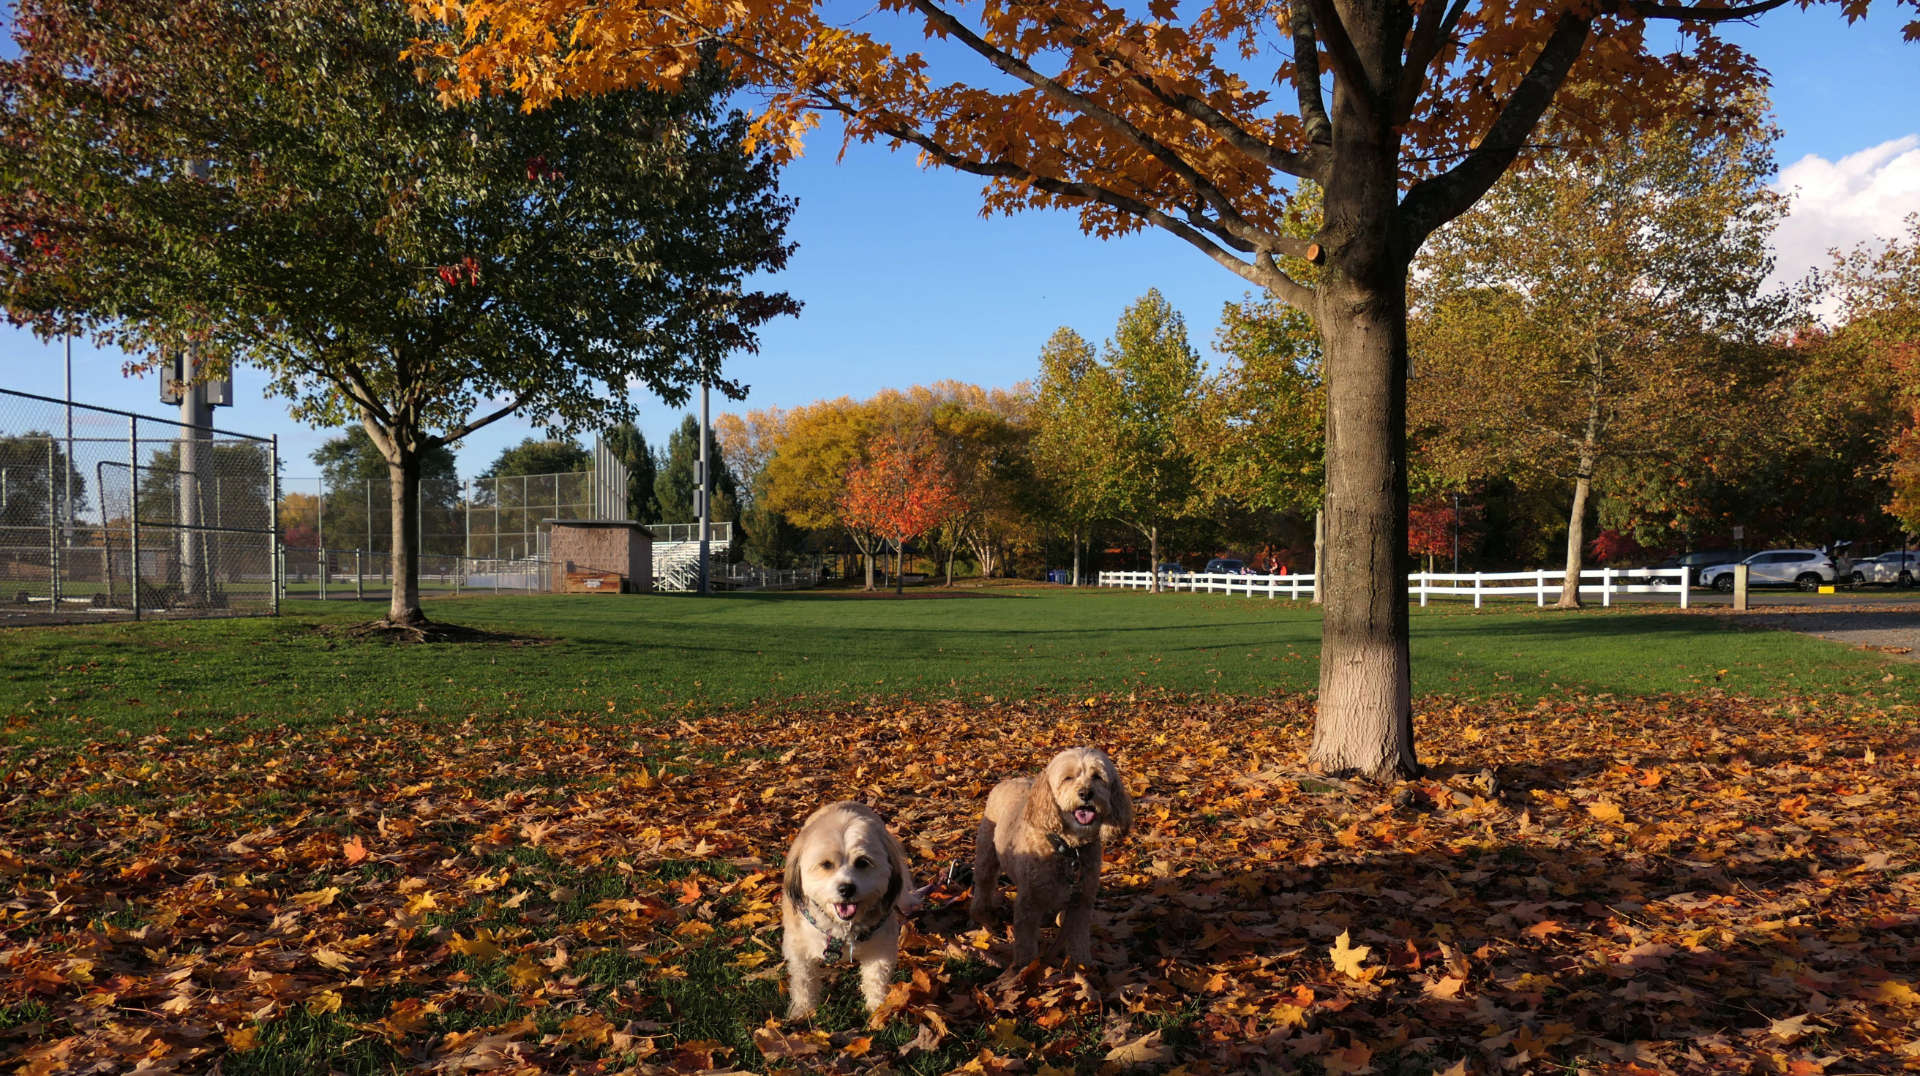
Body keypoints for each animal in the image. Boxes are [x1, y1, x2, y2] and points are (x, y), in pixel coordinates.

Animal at [779, 803, 913, 1022]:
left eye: (863, 862)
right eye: (826, 864)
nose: (846, 889)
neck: (842, 929)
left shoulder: (881, 948)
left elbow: (876, 978)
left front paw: (878, 1008)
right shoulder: (799, 948)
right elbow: (803, 981)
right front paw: (802, 1009)